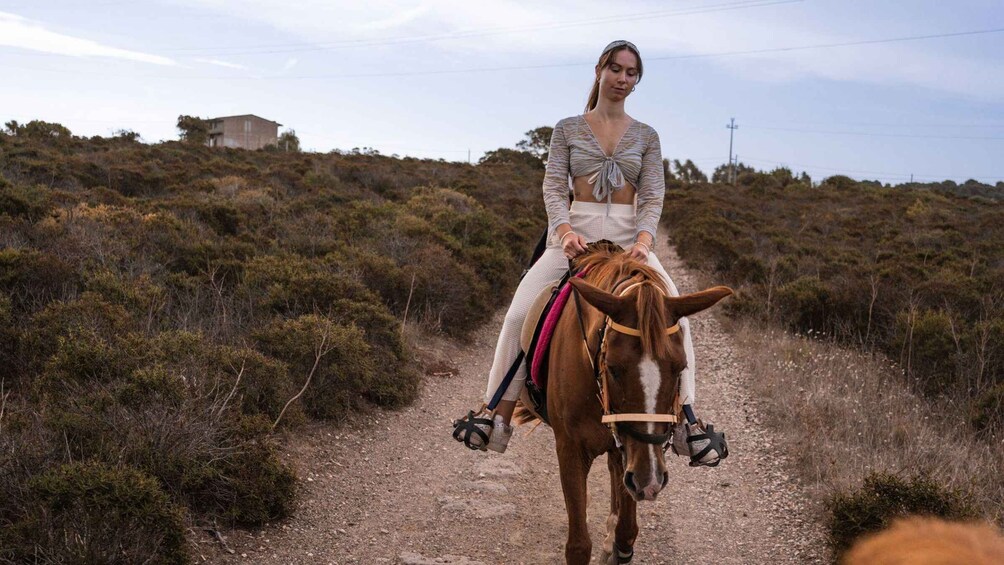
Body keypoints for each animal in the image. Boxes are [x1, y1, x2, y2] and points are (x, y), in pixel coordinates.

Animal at [522, 246, 734, 565]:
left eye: (681, 367)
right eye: (612, 367)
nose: (651, 481)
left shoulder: (631, 450)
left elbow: (626, 531)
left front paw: (615, 544)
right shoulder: (570, 449)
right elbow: (578, 546)